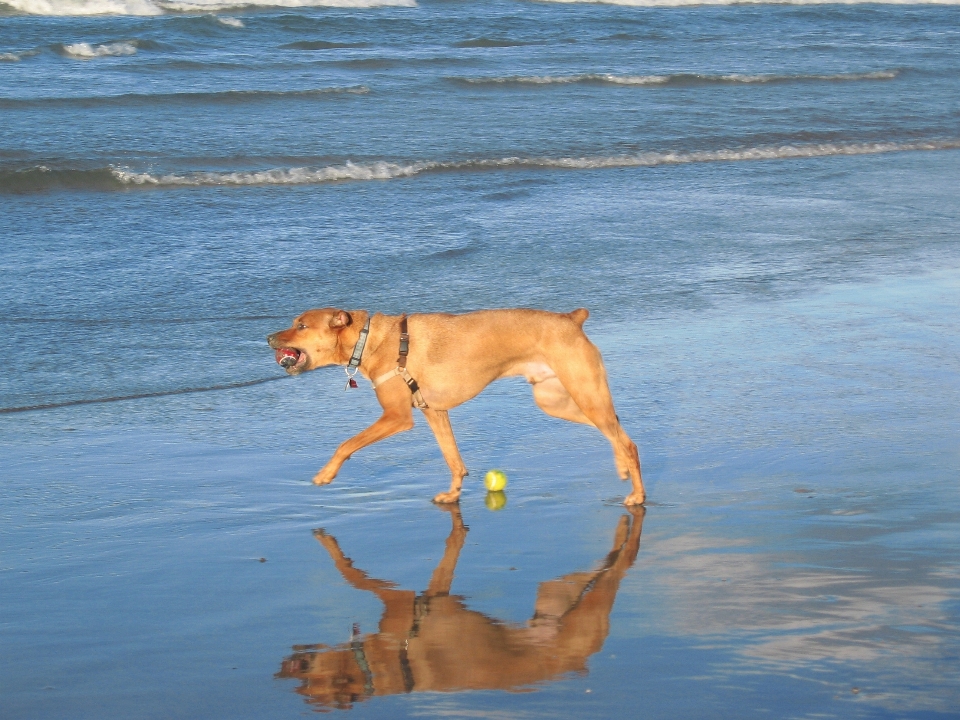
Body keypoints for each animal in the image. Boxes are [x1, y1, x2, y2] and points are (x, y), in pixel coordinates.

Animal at [266, 306, 644, 504]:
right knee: (616, 429)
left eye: (301, 325)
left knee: (627, 441)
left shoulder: (397, 417)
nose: (268, 338)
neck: (369, 339)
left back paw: (638, 495)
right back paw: (621, 468)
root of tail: (571, 318)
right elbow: (453, 460)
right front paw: (453, 493)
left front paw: (326, 474)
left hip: (582, 393)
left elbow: (346, 444)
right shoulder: (434, 412)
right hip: (556, 401)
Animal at [276, 506, 644, 708]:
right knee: (604, 565)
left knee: (620, 567)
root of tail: (577, 661)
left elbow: (352, 575)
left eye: (307, 687)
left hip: (588, 603)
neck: (377, 667)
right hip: (559, 595)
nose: (282, 669)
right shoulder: (432, 594)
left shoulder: (400, 601)